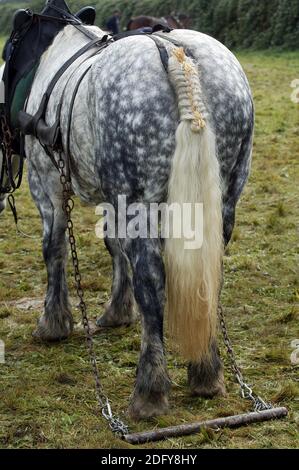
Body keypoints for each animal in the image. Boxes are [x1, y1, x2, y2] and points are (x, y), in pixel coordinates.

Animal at [2, 23, 255, 416]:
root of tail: (176, 56)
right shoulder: (112, 197)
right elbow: (114, 246)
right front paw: (118, 311)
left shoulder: (47, 184)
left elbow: (53, 248)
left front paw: (53, 322)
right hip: (224, 199)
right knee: (211, 276)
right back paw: (206, 372)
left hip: (141, 202)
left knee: (151, 282)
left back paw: (149, 390)